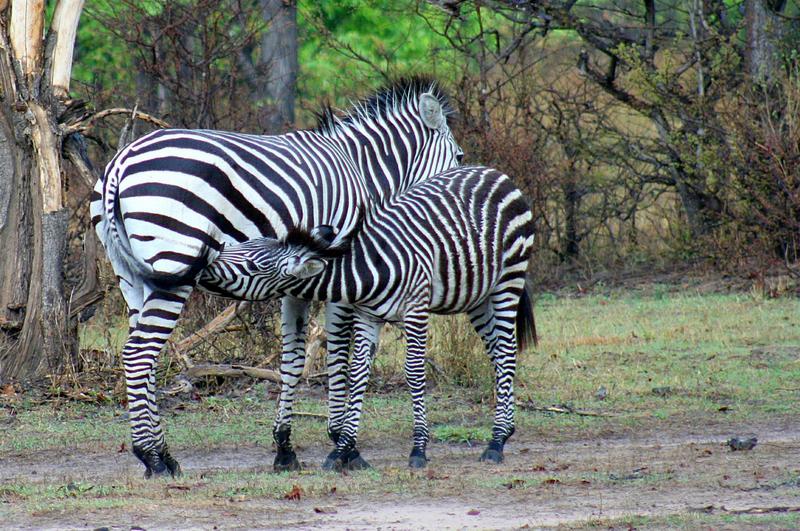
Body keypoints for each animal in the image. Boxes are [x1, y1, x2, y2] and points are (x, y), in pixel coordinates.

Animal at [90, 78, 463, 477]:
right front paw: (344, 444)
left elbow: (293, 358)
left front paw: (285, 448)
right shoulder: (341, 269)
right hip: (175, 259)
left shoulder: (297, 278)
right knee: (139, 353)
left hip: (130, 275)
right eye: (458, 156)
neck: (361, 171)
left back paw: (160, 454)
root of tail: (120, 163)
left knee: (145, 355)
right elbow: (338, 352)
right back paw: (154, 457)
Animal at [201, 165, 537, 468]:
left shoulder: (416, 308)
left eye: (252, 266)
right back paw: (505, 431)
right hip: (477, 294)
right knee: (496, 354)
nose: (204, 261)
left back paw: (496, 442)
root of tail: (495, 173)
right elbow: (358, 372)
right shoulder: (367, 314)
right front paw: (342, 450)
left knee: (506, 353)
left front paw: (418, 449)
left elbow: (414, 373)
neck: (369, 269)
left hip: (508, 280)